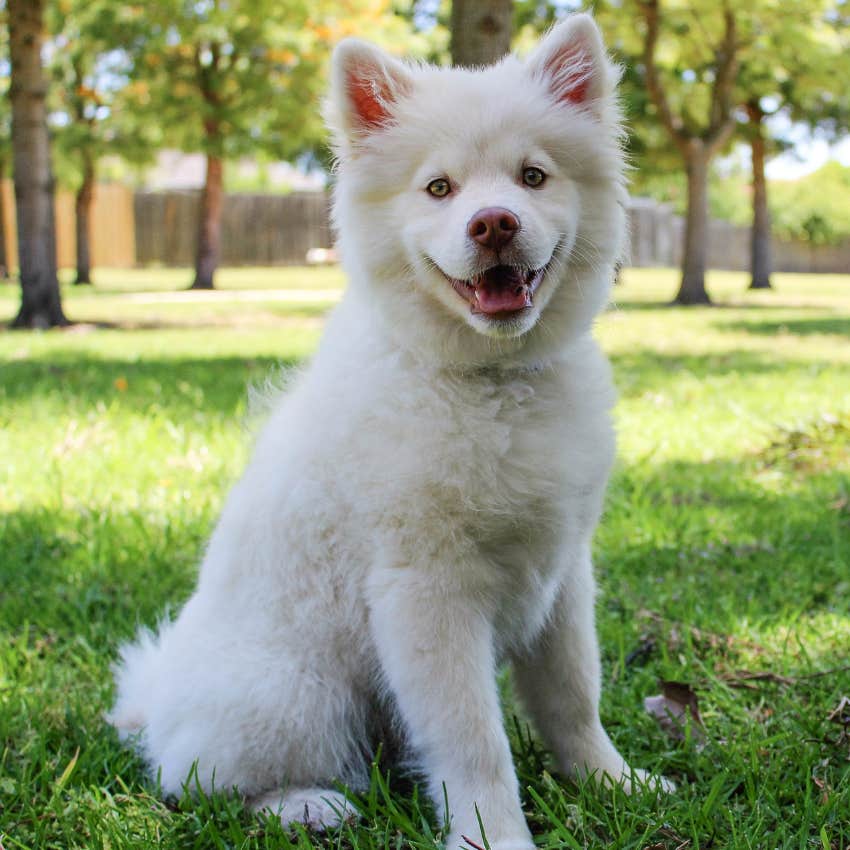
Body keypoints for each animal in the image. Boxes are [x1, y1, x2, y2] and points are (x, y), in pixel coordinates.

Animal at [111, 14, 668, 848]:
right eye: (439, 188)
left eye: (533, 177)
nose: (494, 222)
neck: (489, 382)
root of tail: (158, 698)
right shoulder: (426, 592)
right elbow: (474, 740)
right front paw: (493, 835)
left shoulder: (563, 575)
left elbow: (575, 698)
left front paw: (613, 785)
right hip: (296, 695)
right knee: (199, 780)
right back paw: (305, 805)